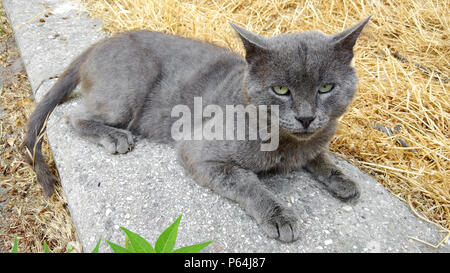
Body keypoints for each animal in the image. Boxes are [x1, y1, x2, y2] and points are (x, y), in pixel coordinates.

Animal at [23, 17, 370, 241]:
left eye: (326, 87)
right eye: (281, 90)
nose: (306, 118)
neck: (288, 145)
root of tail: (99, 43)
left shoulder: (315, 141)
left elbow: (320, 155)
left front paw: (342, 180)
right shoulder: (199, 152)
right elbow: (248, 183)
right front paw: (279, 216)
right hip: (129, 89)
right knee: (73, 117)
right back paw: (115, 136)